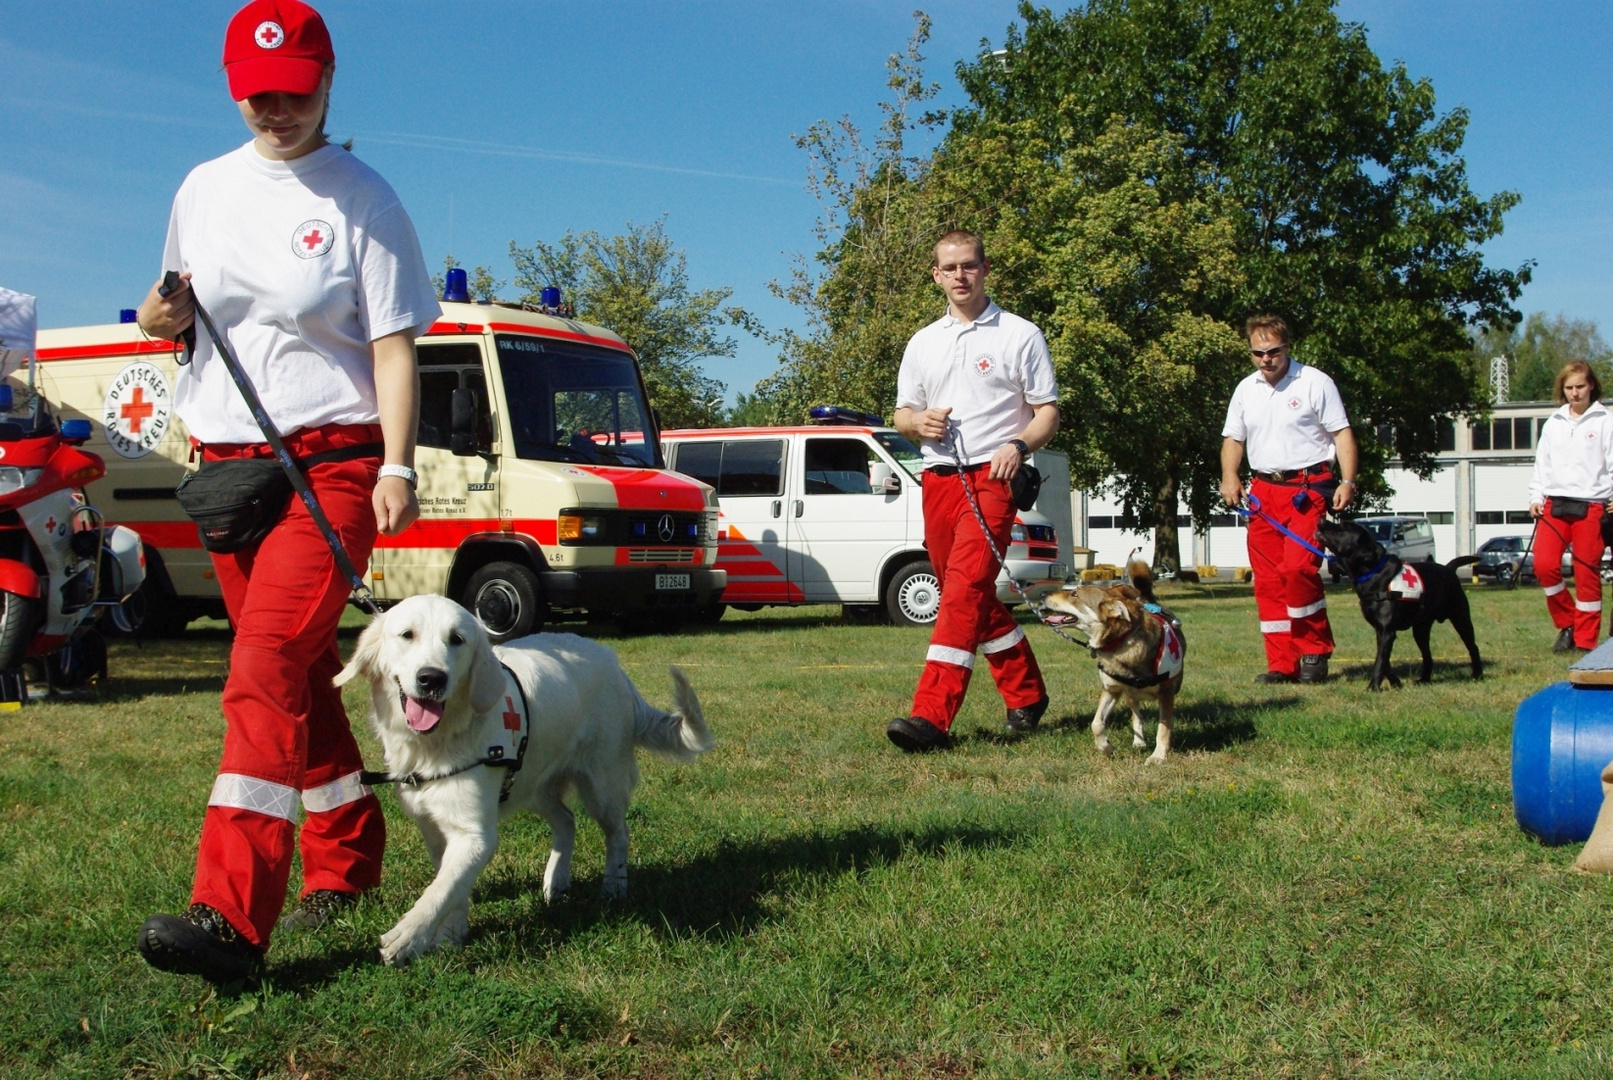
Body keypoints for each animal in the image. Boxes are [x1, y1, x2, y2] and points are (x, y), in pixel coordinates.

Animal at [1045, 564, 1187, 767]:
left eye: (1074, 594)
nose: (1044, 593)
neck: (1123, 641)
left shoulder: (1167, 693)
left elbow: (1163, 729)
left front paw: (1158, 756)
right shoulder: (1111, 689)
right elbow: (1096, 723)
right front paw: (1106, 747)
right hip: (1130, 695)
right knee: (1136, 715)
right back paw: (1138, 742)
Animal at [1316, 525, 1477, 693]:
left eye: (1342, 529)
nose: (1322, 521)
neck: (1373, 572)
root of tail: (1449, 569)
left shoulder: (1387, 632)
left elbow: (1380, 661)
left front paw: (1373, 687)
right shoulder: (1380, 630)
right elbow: (1384, 660)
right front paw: (1396, 682)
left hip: (1461, 618)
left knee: (1473, 647)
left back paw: (1477, 675)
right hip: (1421, 629)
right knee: (1427, 656)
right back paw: (1424, 679)